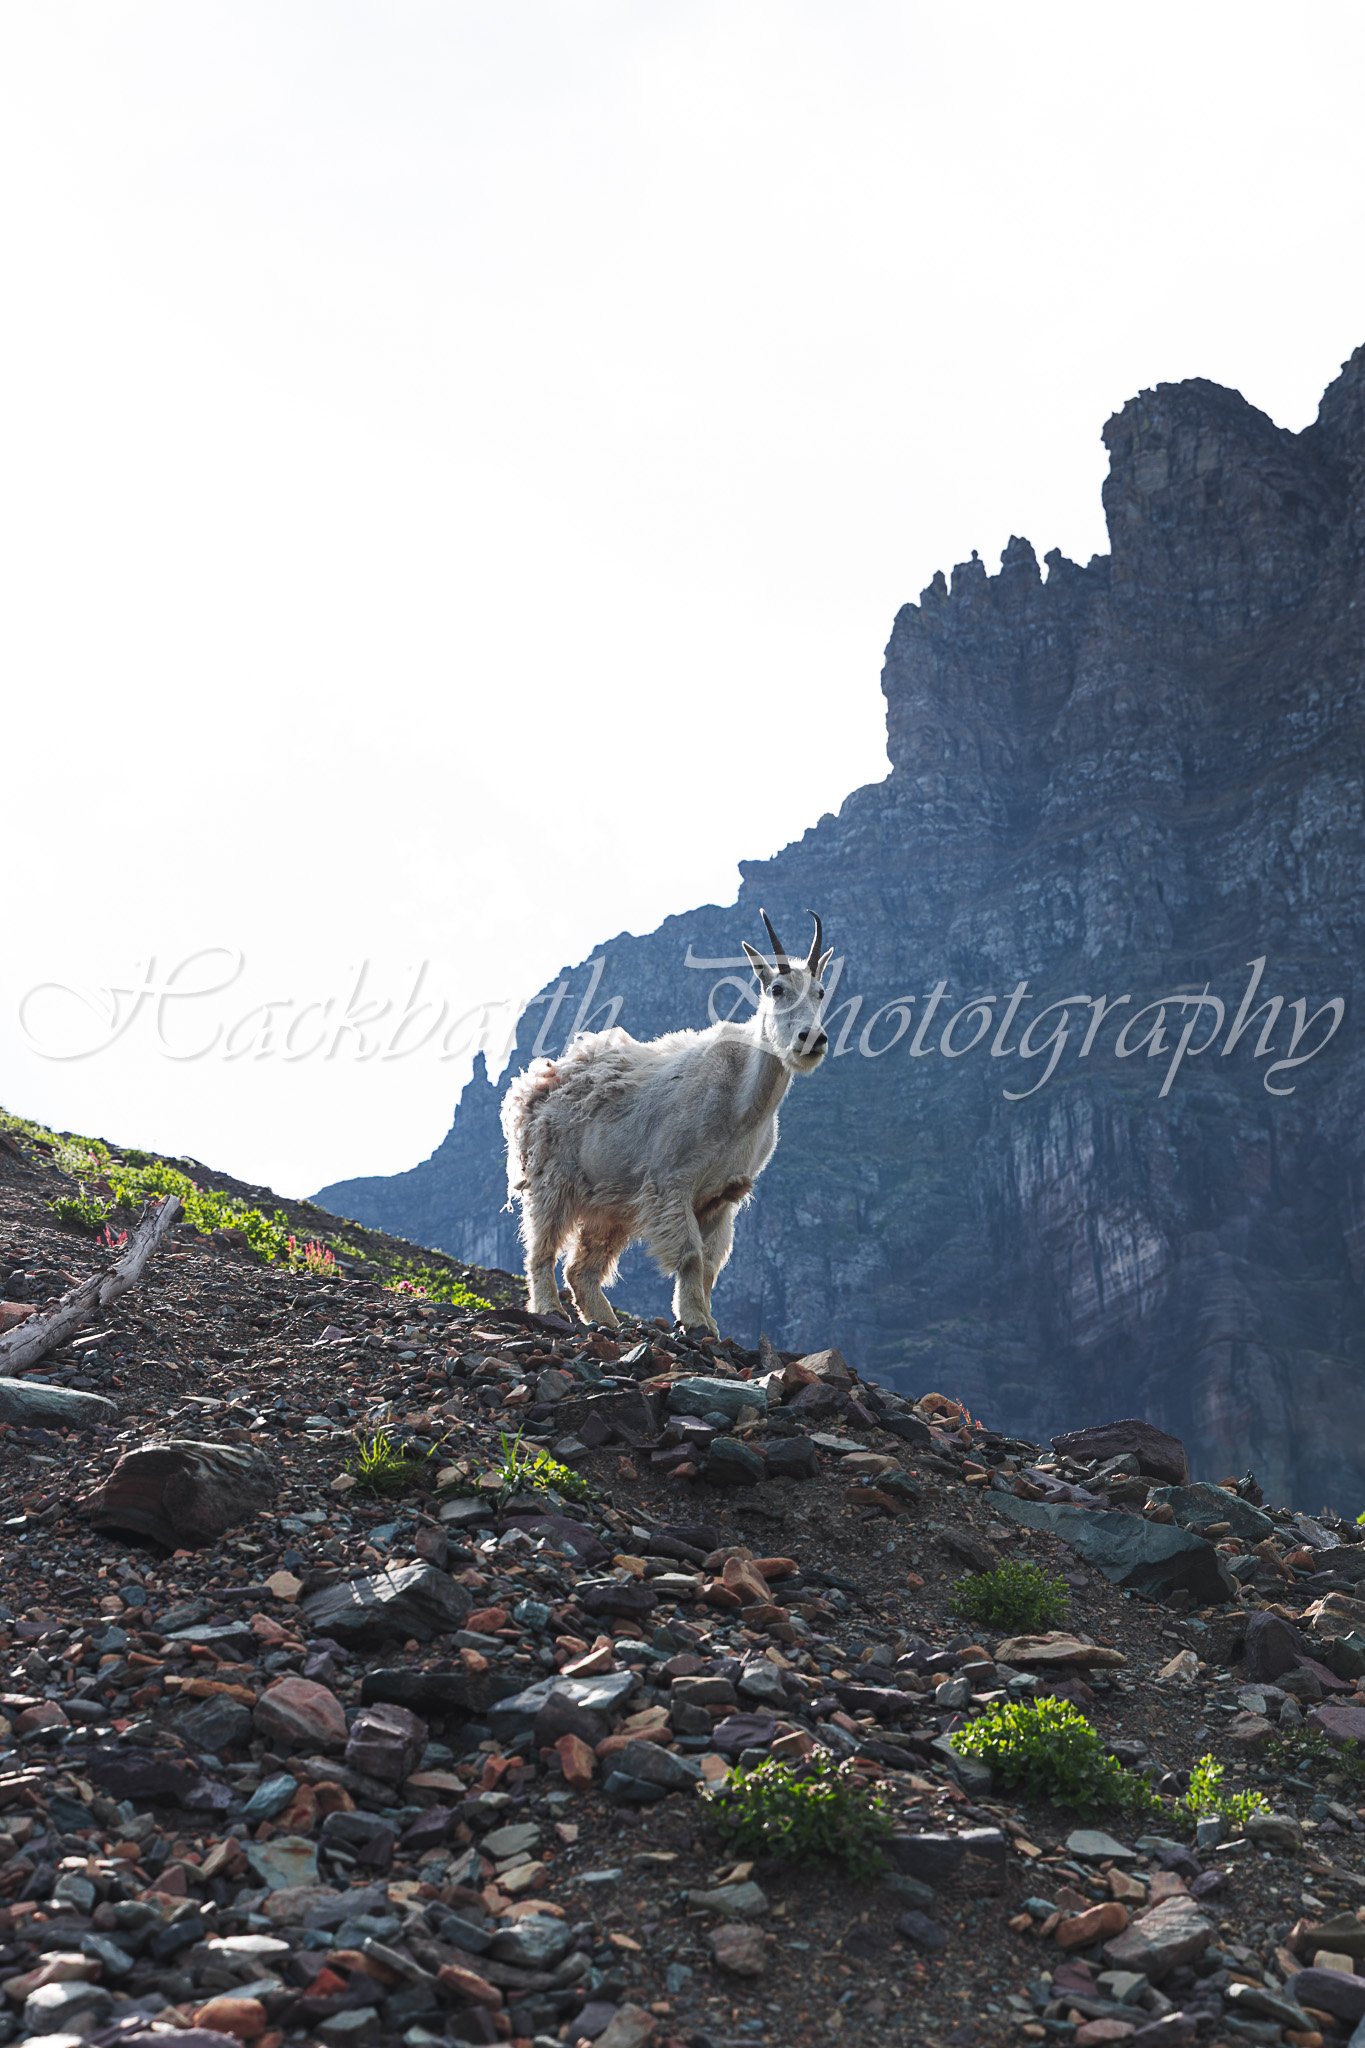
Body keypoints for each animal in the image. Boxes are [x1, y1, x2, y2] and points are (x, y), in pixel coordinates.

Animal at [501, 909, 834, 1334]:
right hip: (552, 1179)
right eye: (776, 989)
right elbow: (690, 1256)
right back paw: (549, 1308)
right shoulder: (672, 1182)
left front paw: (707, 1321)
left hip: (611, 1200)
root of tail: (535, 1083)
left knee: (581, 1268)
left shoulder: (722, 1196)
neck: (742, 1104)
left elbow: (709, 1264)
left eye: (820, 991)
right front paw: (694, 1321)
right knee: (542, 1246)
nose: (812, 1039)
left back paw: (606, 1321)